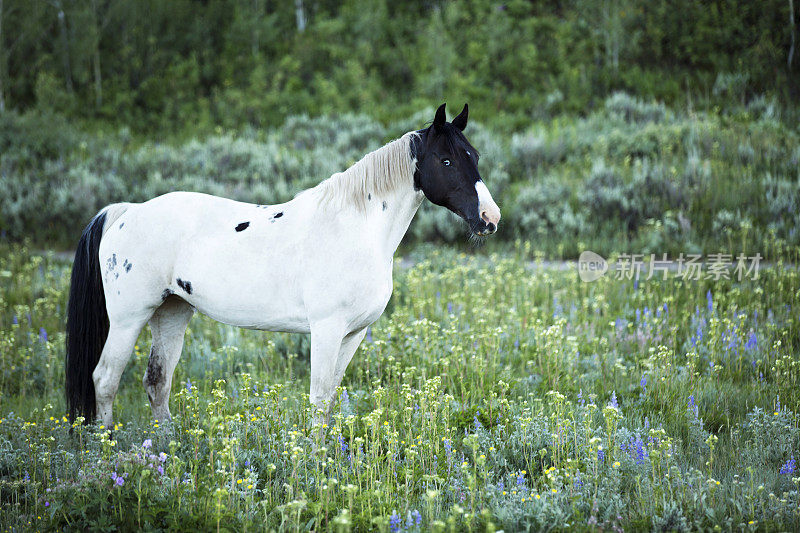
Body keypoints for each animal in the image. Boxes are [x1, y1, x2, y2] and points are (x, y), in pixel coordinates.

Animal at [65, 105, 500, 428]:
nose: (489, 217)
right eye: (446, 160)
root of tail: (125, 212)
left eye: (475, 156)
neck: (356, 228)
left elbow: (329, 400)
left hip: (171, 312)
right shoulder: (326, 329)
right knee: (105, 380)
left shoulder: (353, 334)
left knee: (157, 382)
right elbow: (318, 399)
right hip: (129, 318)